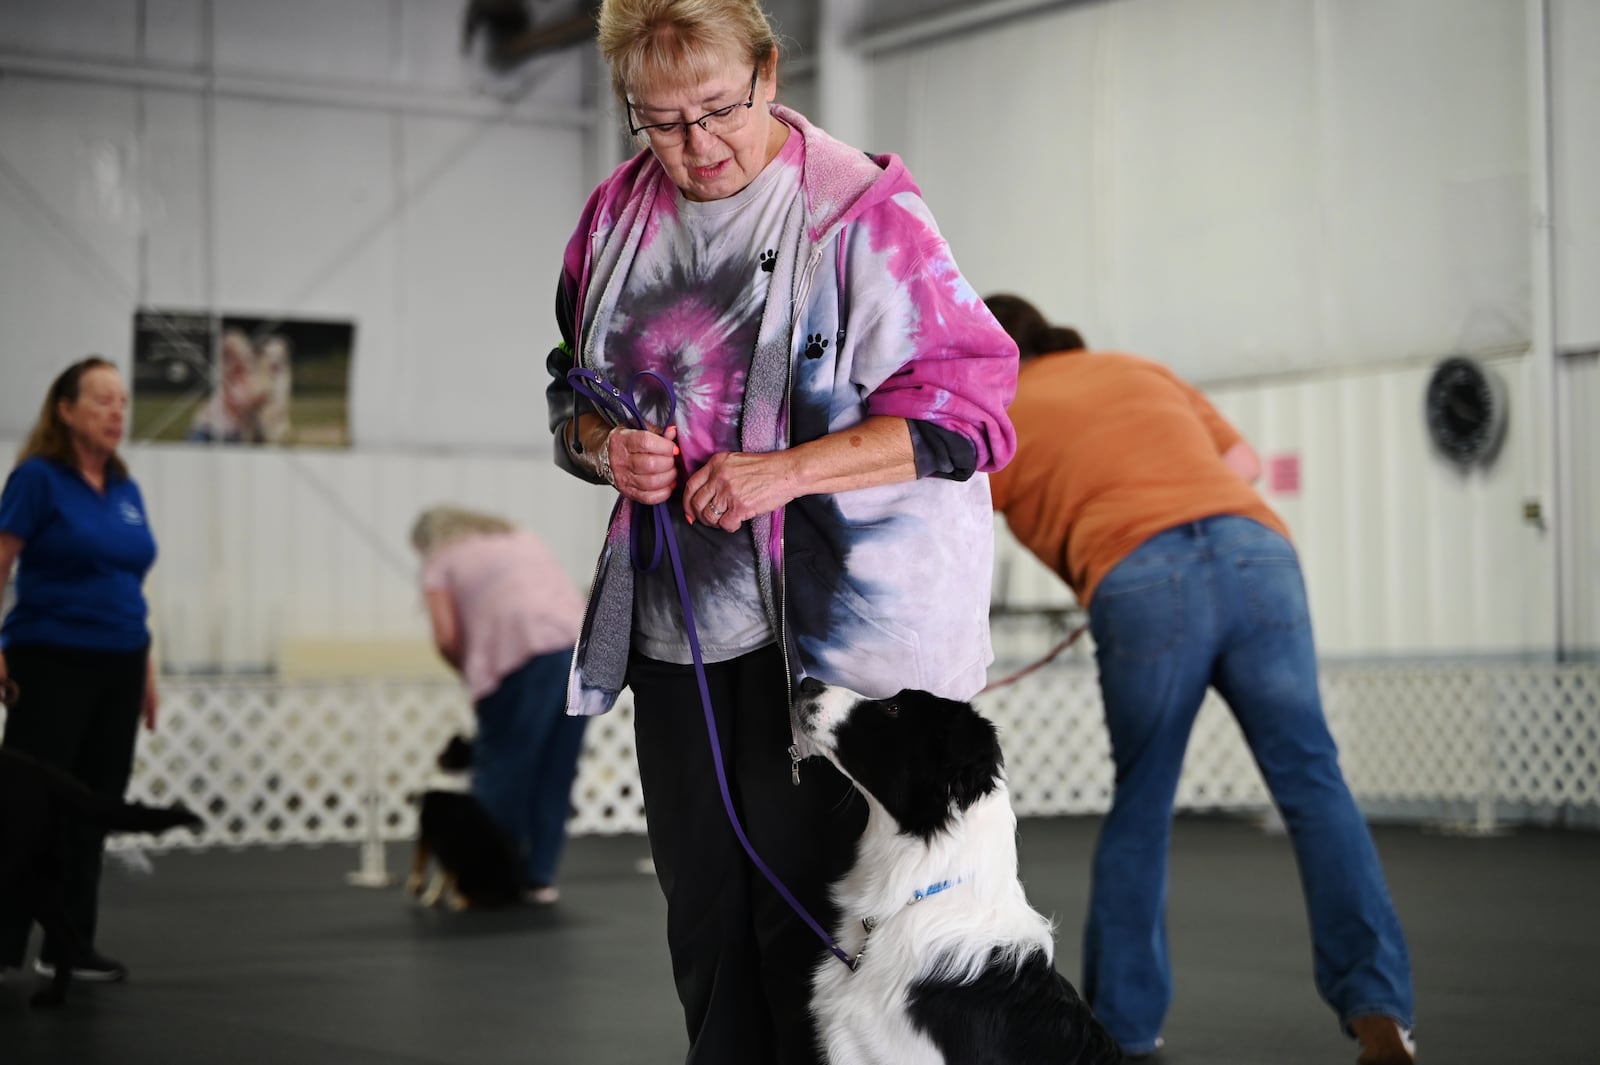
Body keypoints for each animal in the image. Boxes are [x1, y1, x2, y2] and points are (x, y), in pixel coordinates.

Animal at [409, 735, 521, 908]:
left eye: (446, 747)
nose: (456, 735)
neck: (454, 775)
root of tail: (516, 891)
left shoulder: (428, 833)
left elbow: (420, 862)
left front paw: (417, 887)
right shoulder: (444, 849)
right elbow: (441, 875)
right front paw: (432, 897)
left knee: (478, 896)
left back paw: (460, 901)